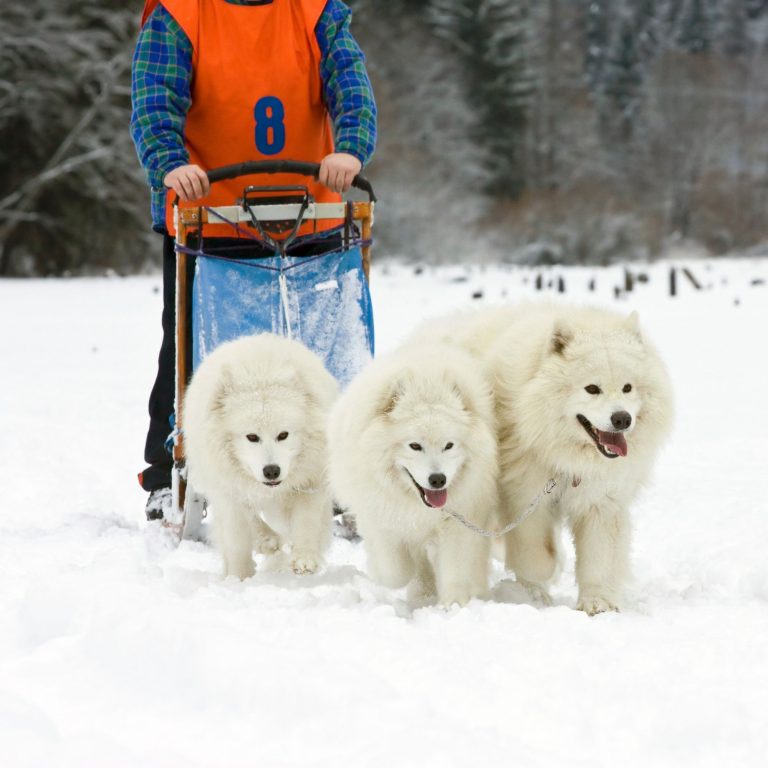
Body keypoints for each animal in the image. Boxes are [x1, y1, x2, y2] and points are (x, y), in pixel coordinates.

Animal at [183, 332, 336, 580]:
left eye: (283, 435)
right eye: (252, 437)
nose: (271, 471)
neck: (260, 371)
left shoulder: (310, 481)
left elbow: (306, 521)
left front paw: (304, 559)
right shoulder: (229, 490)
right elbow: (241, 534)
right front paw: (240, 576)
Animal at [328, 344, 498, 608]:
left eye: (449, 445)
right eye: (415, 446)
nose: (438, 479)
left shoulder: (461, 518)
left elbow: (456, 567)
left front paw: (455, 604)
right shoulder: (380, 517)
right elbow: (395, 571)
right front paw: (411, 583)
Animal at [414, 304, 672, 616]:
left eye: (627, 387)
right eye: (592, 388)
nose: (622, 418)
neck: (567, 459)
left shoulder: (600, 500)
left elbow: (599, 557)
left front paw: (597, 603)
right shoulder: (525, 496)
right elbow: (537, 555)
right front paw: (541, 582)